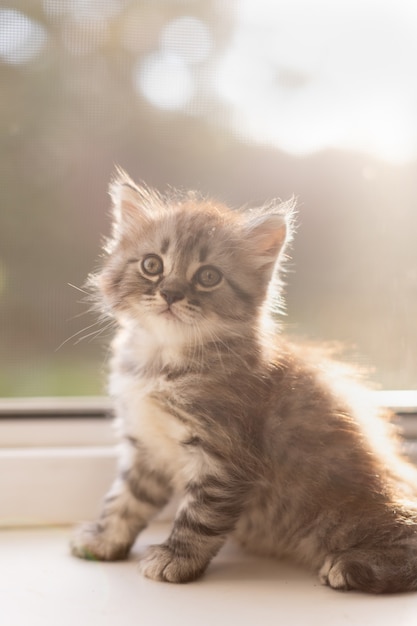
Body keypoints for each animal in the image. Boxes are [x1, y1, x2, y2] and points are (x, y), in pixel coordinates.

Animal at [70, 169, 416, 588]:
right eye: (152, 265)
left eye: (208, 276)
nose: (170, 293)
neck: (162, 360)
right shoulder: (147, 447)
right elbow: (125, 500)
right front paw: (103, 540)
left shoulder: (226, 453)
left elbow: (199, 516)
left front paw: (176, 558)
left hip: (343, 512)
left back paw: (350, 565)